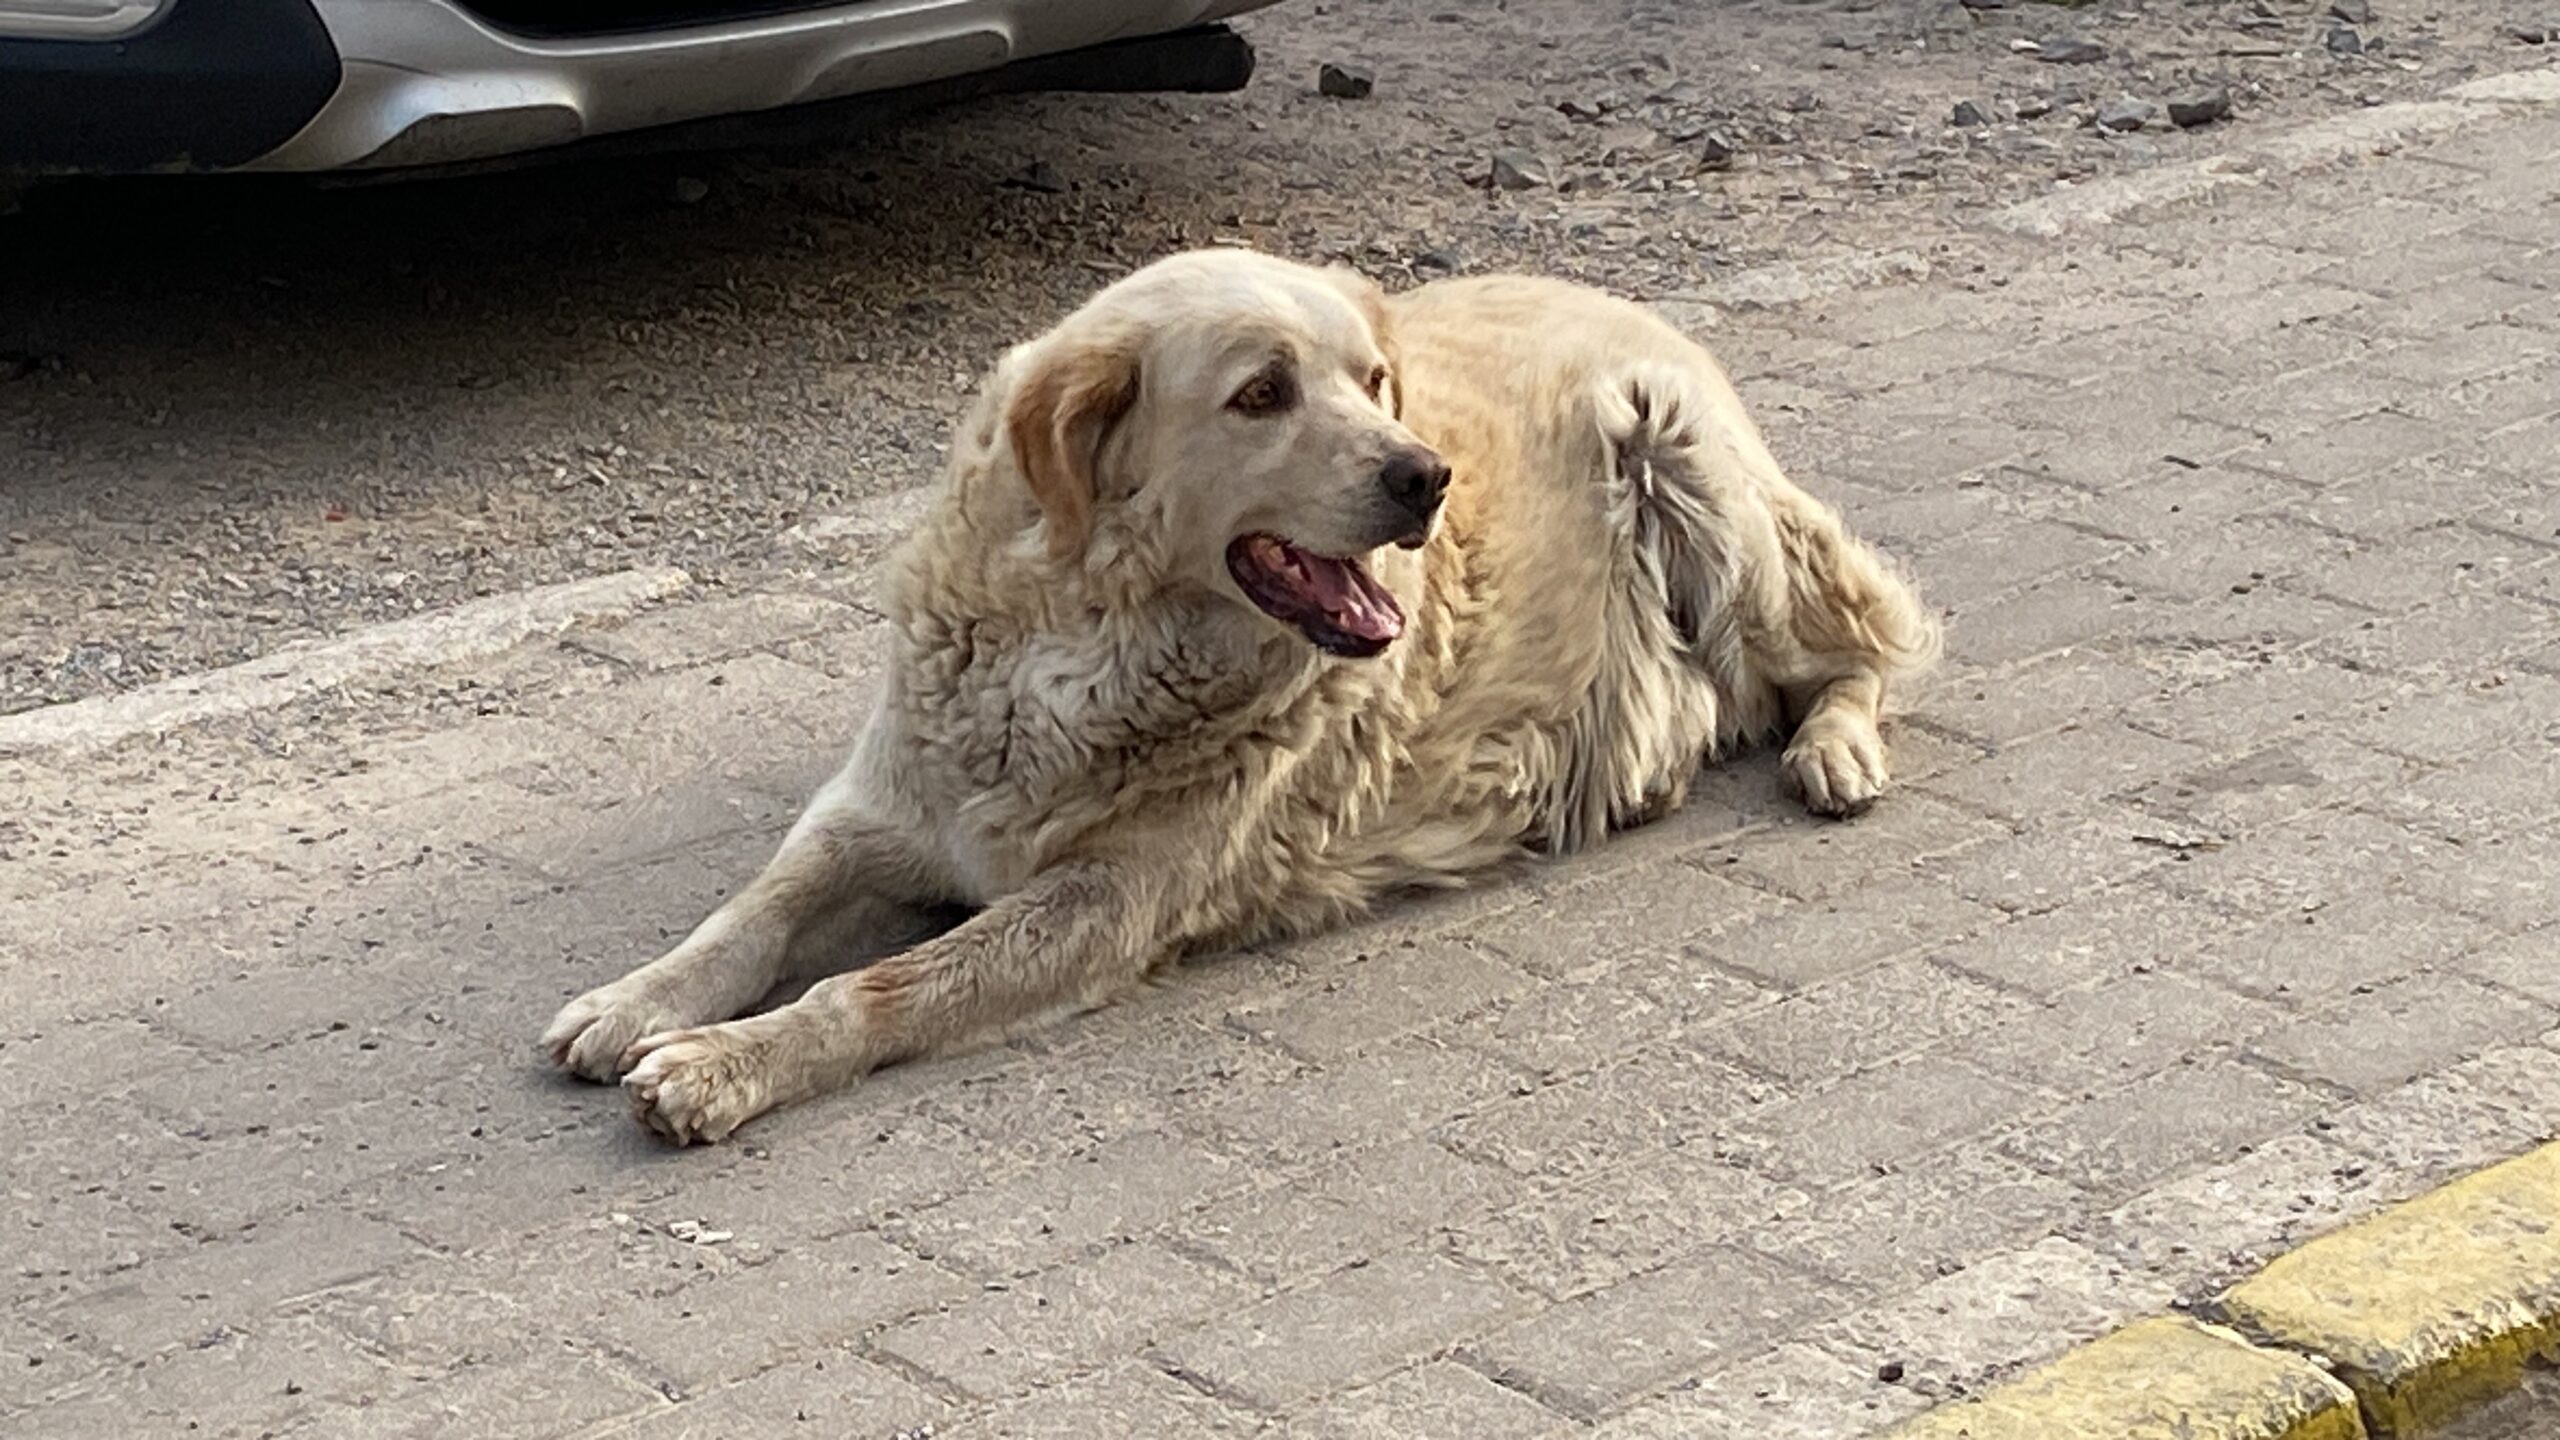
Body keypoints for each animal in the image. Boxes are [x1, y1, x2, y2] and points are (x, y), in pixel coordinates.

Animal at [545, 249, 1935, 1142]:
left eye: (1372, 381)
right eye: (1261, 393)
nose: (1427, 476)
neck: (1092, 635)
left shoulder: (1107, 903)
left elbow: (874, 988)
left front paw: (724, 1065)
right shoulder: (883, 805)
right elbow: (754, 912)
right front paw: (639, 999)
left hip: (1690, 468)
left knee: (1860, 649)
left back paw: (1835, 752)